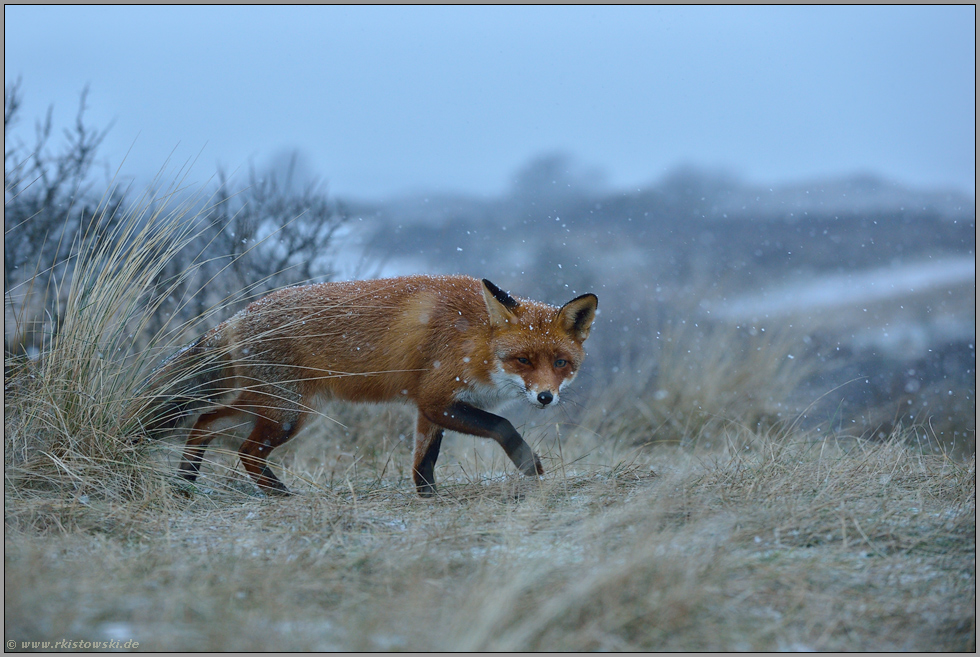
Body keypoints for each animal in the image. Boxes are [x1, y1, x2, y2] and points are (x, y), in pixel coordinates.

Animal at [131, 274, 596, 494]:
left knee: (205, 422)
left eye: (560, 363)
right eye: (522, 360)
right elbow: (503, 426)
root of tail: (235, 317)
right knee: (245, 450)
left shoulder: (431, 407)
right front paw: (530, 467)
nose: (545, 397)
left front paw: (427, 497)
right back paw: (281, 495)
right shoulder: (435, 398)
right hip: (286, 413)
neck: (476, 340)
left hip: (268, 405)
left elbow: (424, 462)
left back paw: (186, 483)